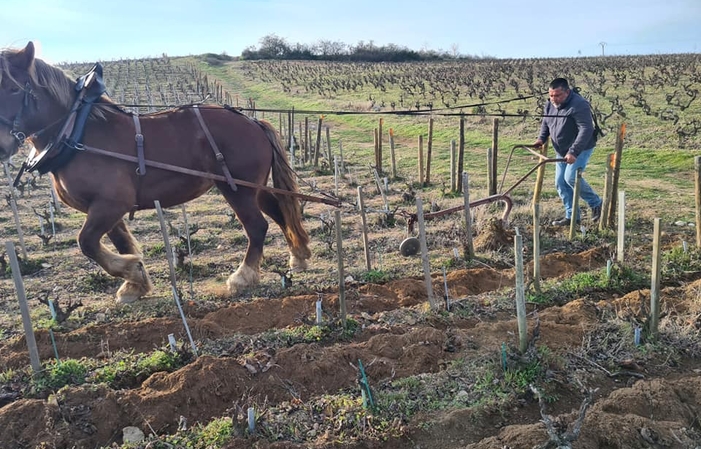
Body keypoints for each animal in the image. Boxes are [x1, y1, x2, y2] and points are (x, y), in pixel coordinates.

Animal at [0, 42, 308, 302]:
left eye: (13, 89)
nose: (2, 145)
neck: (77, 132)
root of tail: (253, 121)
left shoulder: (112, 203)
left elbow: (86, 242)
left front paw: (133, 270)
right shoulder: (101, 208)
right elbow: (120, 242)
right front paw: (135, 282)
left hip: (238, 189)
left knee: (257, 226)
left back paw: (243, 276)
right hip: (252, 187)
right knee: (279, 212)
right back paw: (299, 255)